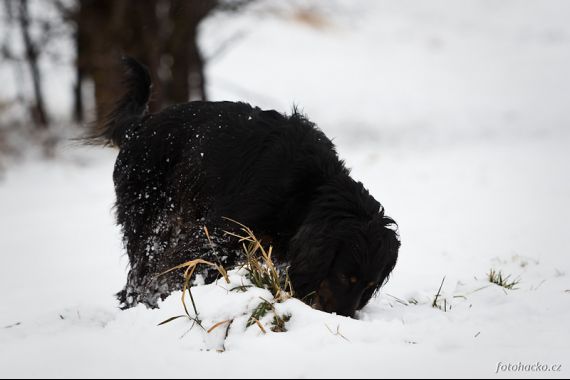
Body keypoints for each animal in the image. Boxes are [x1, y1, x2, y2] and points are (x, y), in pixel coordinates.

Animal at [90, 57, 400, 318]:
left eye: (369, 285)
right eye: (345, 276)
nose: (344, 316)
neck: (307, 189)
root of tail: (139, 127)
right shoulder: (216, 234)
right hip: (151, 219)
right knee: (141, 272)